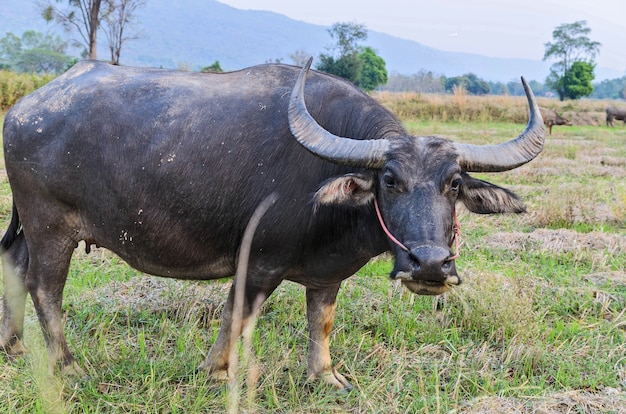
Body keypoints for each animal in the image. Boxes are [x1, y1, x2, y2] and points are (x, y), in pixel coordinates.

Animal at [0, 59, 544, 392]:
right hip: (51, 226)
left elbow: (320, 321)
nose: (430, 265)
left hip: (32, 228)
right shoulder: (259, 261)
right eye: (390, 180)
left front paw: (325, 377)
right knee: (45, 286)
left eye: (453, 183)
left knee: (14, 264)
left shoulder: (326, 275)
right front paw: (217, 372)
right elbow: (236, 315)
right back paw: (68, 366)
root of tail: (24, 108)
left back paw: (14, 345)